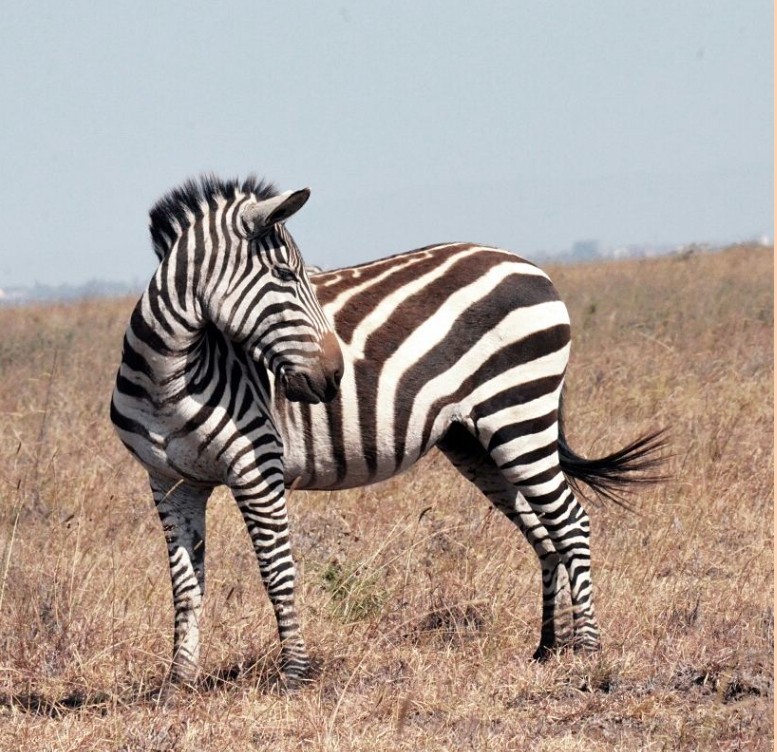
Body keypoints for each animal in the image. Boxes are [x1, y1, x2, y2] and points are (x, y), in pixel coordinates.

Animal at [111, 175, 664, 688]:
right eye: (286, 274)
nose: (334, 377)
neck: (168, 377)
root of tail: (530, 265)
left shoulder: (257, 467)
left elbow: (278, 572)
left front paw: (295, 674)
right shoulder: (170, 483)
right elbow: (186, 586)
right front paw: (178, 681)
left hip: (518, 414)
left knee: (571, 521)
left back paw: (587, 648)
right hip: (477, 442)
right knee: (544, 532)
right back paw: (549, 646)